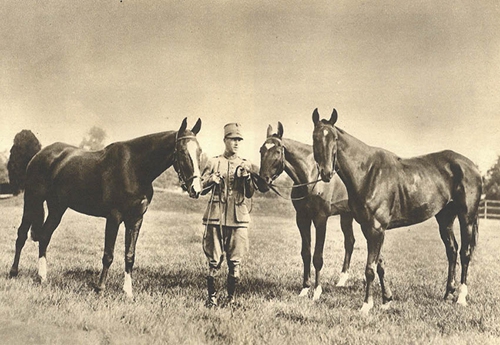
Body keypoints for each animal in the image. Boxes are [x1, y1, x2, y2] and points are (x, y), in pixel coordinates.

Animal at [9, 117, 203, 296]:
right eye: (182, 151)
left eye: (199, 151)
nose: (196, 189)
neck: (134, 168)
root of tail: (40, 154)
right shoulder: (114, 217)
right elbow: (108, 255)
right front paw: (100, 288)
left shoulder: (136, 220)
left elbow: (130, 256)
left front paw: (128, 292)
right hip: (32, 200)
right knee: (21, 235)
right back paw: (13, 272)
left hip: (57, 208)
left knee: (44, 236)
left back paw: (42, 276)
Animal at [258, 122, 356, 300]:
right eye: (261, 150)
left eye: (277, 151)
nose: (262, 182)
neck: (310, 178)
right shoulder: (302, 219)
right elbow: (306, 253)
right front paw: (304, 288)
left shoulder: (320, 219)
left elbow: (317, 257)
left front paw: (317, 291)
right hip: (346, 216)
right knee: (350, 241)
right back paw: (342, 280)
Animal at [312, 109, 480, 314]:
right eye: (315, 137)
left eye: (334, 138)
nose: (326, 173)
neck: (367, 173)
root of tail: (472, 166)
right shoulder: (369, 228)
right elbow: (379, 265)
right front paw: (386, 300)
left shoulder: (376, 228)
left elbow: (370, 269)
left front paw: (366, 305)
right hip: (445, 218)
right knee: (452, 251)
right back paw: (448, 293)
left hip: (467, 218)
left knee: (465, 253)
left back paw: (461, 297)